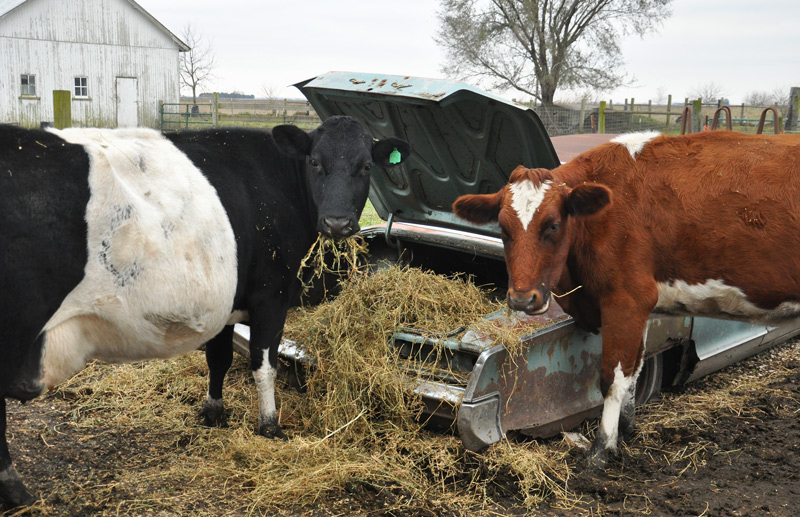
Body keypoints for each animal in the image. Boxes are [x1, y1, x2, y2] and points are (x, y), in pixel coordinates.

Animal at [0, 117, 410, 506]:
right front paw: (270, 425)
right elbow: (264, 365)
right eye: (315, 162)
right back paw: (15, 488)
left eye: (366, 166)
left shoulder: (227, 303)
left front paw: (213, 412)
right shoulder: (271, 296)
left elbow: (219, 358)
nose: (337, 222)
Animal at [453, 130, 800, 467]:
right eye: (503, 228)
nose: (523, 299)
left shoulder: (625, 300)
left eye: (552, 225)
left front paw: (602, 448)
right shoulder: (642, 308)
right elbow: (636, 368)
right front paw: (627, 428)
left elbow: (612, 378)